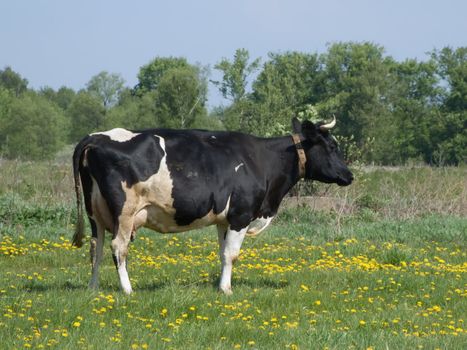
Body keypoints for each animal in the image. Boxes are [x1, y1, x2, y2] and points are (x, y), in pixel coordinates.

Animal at [71, 117, 352, 296]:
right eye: (332, 146)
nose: (349, 175)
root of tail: (95, 137)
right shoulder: (240, 215)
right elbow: (231, 254)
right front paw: (226, 290)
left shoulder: (223, 220)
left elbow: (222, 253)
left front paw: (220, 284)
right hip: (124, 212)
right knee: (118, 248)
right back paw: (128, 290)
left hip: (95, 213)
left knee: (96, 247)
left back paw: (92, 288)